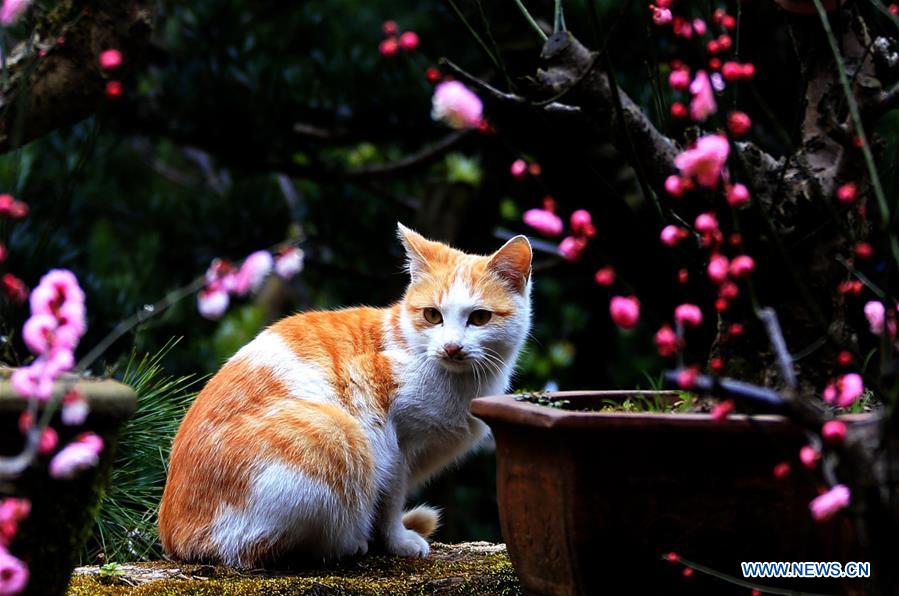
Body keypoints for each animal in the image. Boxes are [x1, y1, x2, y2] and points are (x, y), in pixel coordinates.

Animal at [160, 225, 536, 568]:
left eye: (479, 317)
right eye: (432, 315)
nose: (452, 347)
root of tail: (173, 537)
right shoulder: (395, 444)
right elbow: (390, 501)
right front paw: (397, 541)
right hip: (338, 435)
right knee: (258, 549)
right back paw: (348, 542)